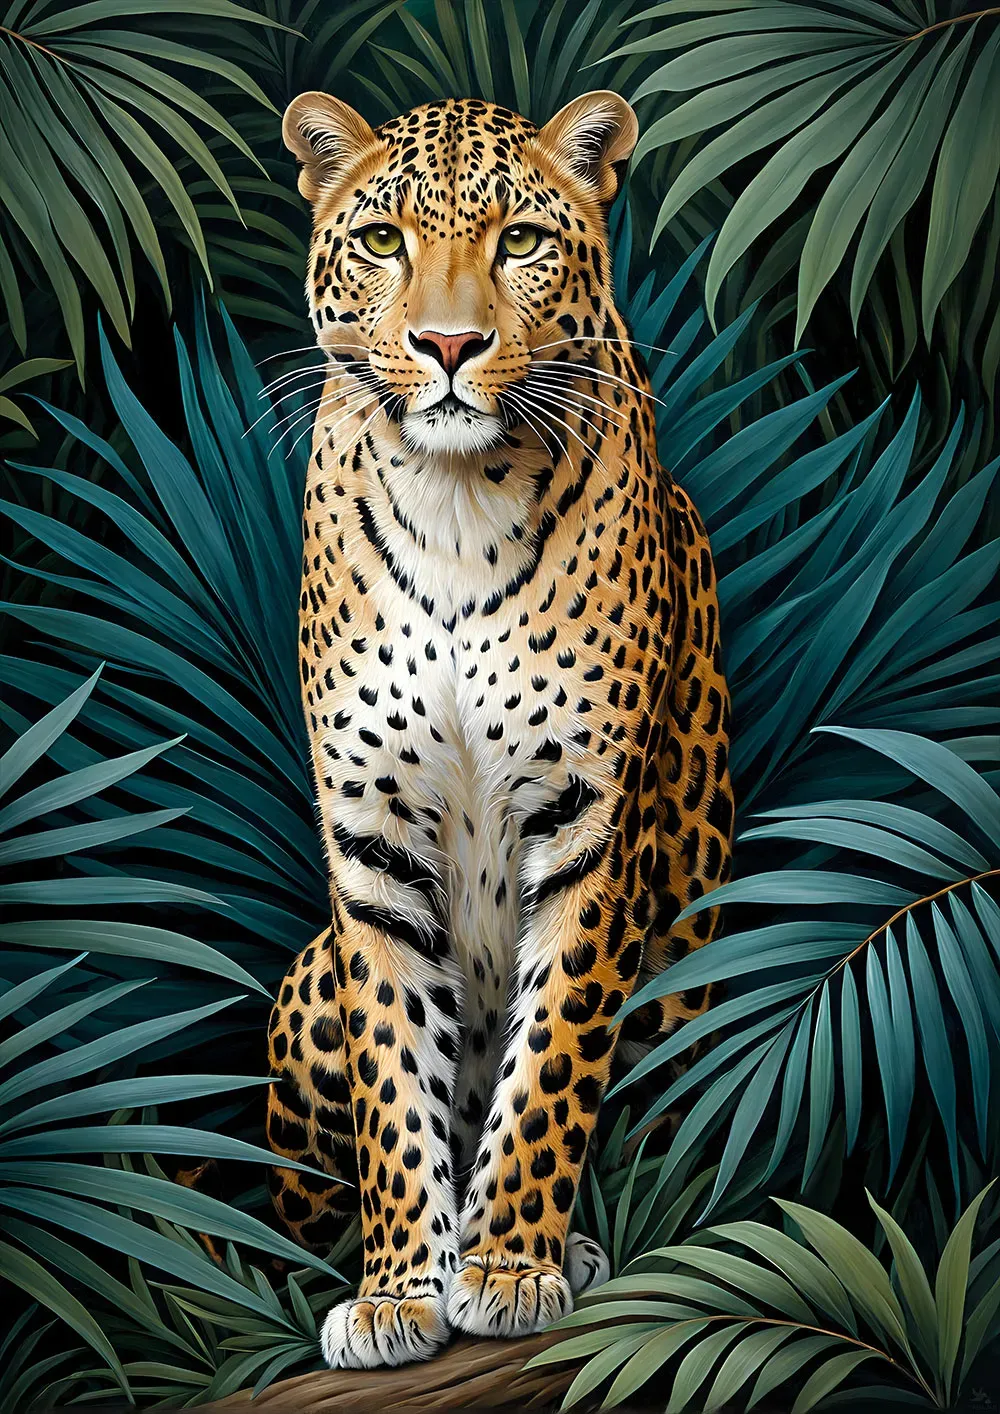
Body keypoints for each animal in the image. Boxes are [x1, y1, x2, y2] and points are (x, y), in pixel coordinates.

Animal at [264, 88, 734, 1371]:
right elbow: (393, 1077)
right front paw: (395, 1290)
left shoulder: (589, 827)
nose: (447, 347)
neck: (456, 498)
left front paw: (511, 1265)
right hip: (304, 983)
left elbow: (554, 1059)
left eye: (519, 240)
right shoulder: (370, 841)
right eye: (383, 242)